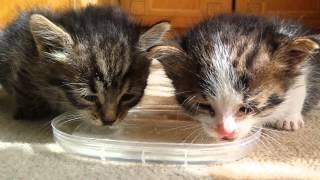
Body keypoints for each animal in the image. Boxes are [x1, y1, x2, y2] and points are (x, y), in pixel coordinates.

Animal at [0, 6, 170, 126]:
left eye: (128, 96)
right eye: (88, 97)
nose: (109, 121)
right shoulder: (24, 53)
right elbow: (23, 84)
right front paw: (29, 109)